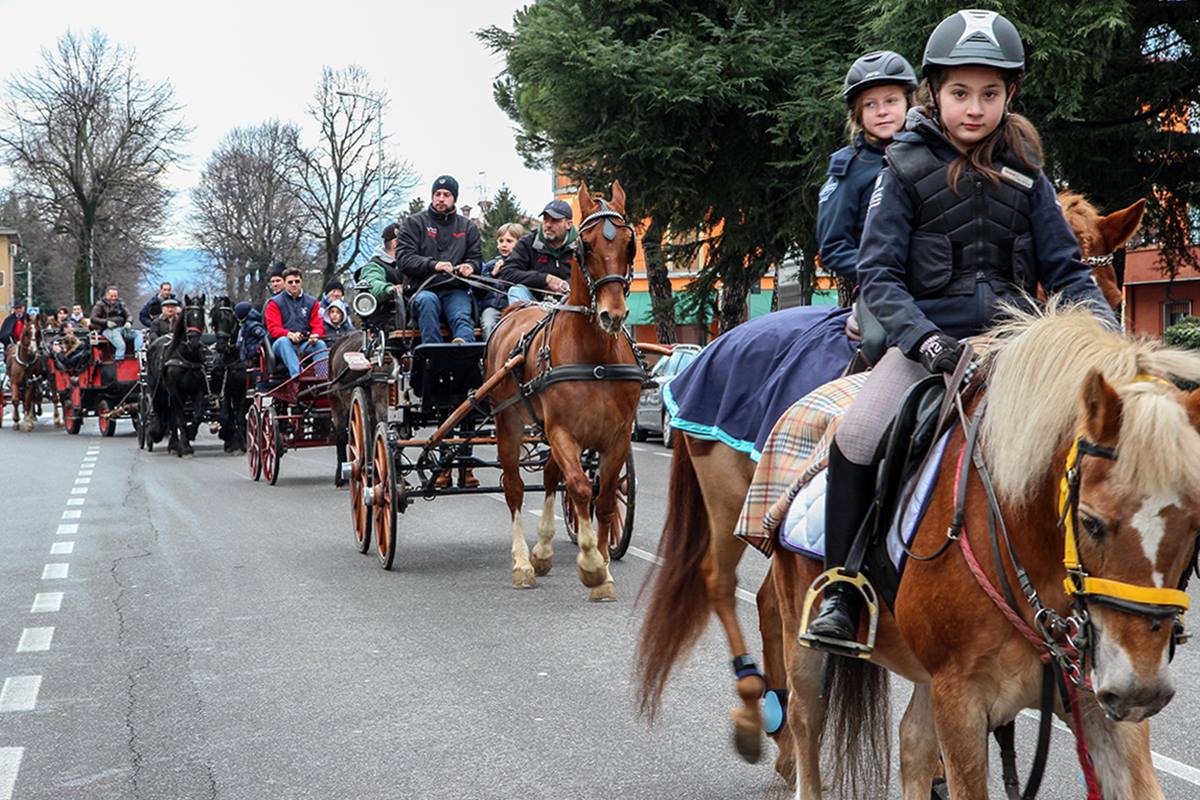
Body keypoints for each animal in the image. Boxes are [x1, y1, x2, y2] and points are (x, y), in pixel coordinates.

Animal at [146, 293, 210, 455]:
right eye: (187, 316)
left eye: (201, 316)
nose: (194, 343)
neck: (186, 356)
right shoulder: (175, 390)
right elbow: (180, 417)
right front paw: (185, 447)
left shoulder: (198, 389)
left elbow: (197, 416)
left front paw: (190, 433)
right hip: (158, 388)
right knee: (164, 411)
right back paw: (160, 436)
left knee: (171, 415)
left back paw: (174, 443)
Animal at [482, 181, 643, 604]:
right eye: (583, 246)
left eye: (630, 244)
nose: (612, 315)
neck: (595, 356)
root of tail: (515, 309)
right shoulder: (562, 432)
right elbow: (582, 487)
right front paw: (591, 564)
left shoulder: (617, 436)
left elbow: (605, 498)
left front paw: (604, 570)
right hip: (509, 423)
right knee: (515, 488)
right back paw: (523, 563)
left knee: (552, 476)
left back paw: (542, 550)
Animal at [638, 191, 1152, 782]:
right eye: (1037, 301)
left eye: (1111, 299)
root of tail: (713, 348)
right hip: (727, 501)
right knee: (723, 586)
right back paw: (756, 712)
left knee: (768, 604)